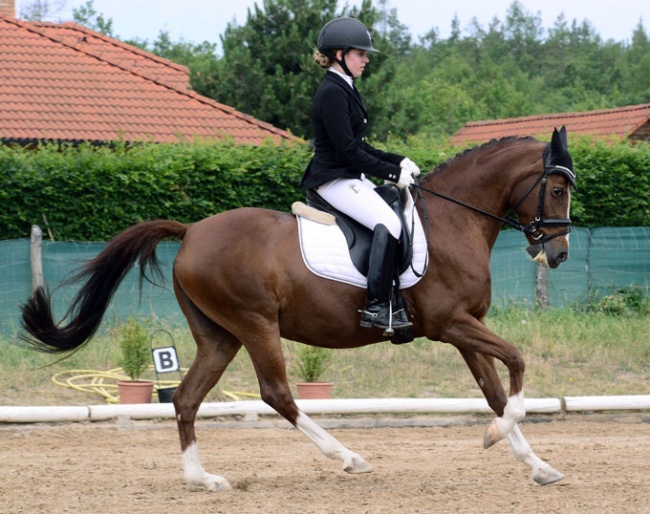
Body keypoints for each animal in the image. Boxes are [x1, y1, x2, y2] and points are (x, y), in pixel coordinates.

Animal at [19, 125, 576, 488]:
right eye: (555, 188)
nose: (559, 254)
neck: (453, 221)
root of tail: (192, 230)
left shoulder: (466, 327)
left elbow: (495, 392)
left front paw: (537, 465)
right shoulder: (450, 324)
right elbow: (516, 364)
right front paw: (496, 437)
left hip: (219, 335)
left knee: (186, 397)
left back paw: (201, 479)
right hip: (255, 324)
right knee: (276, 394)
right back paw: (347, 457)